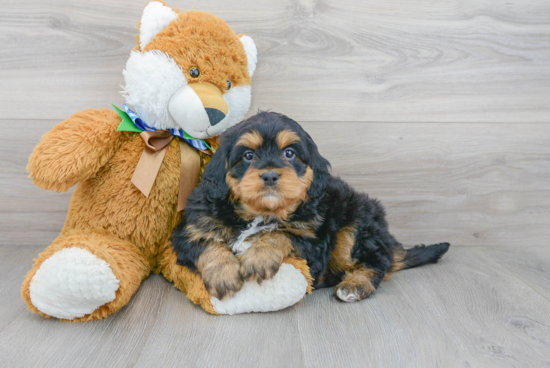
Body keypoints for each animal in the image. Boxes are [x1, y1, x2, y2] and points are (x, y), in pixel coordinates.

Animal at [174, 111, 452, 302]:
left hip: (356, 225)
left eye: (289, 154)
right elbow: (208, 244)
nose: (270, 176)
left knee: (376, 261)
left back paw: (355, 285)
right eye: (248, 156)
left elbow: (281, 235)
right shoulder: (190, 230)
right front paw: (223, 274)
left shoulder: (313, 242)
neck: (261, 213)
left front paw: (259, 257)